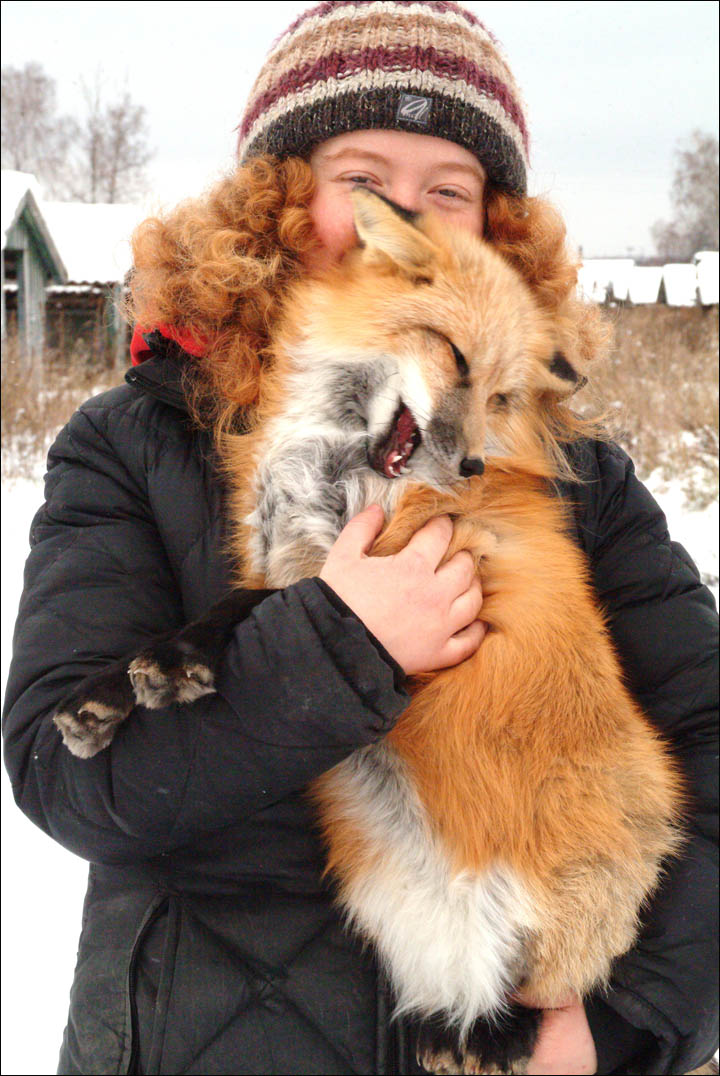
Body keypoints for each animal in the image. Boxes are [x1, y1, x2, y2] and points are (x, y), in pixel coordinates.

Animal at [54, 189, 680, 1076]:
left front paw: (173, 665)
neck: (337, 464)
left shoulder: (379, 569)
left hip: (569, 919)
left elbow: (249, 617)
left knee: (538, 1000)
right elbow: (235, 611)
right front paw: (105, 694)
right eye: (455, 357)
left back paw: (500, 1032)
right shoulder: (292, 565)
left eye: (500, 394)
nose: (470, 468)